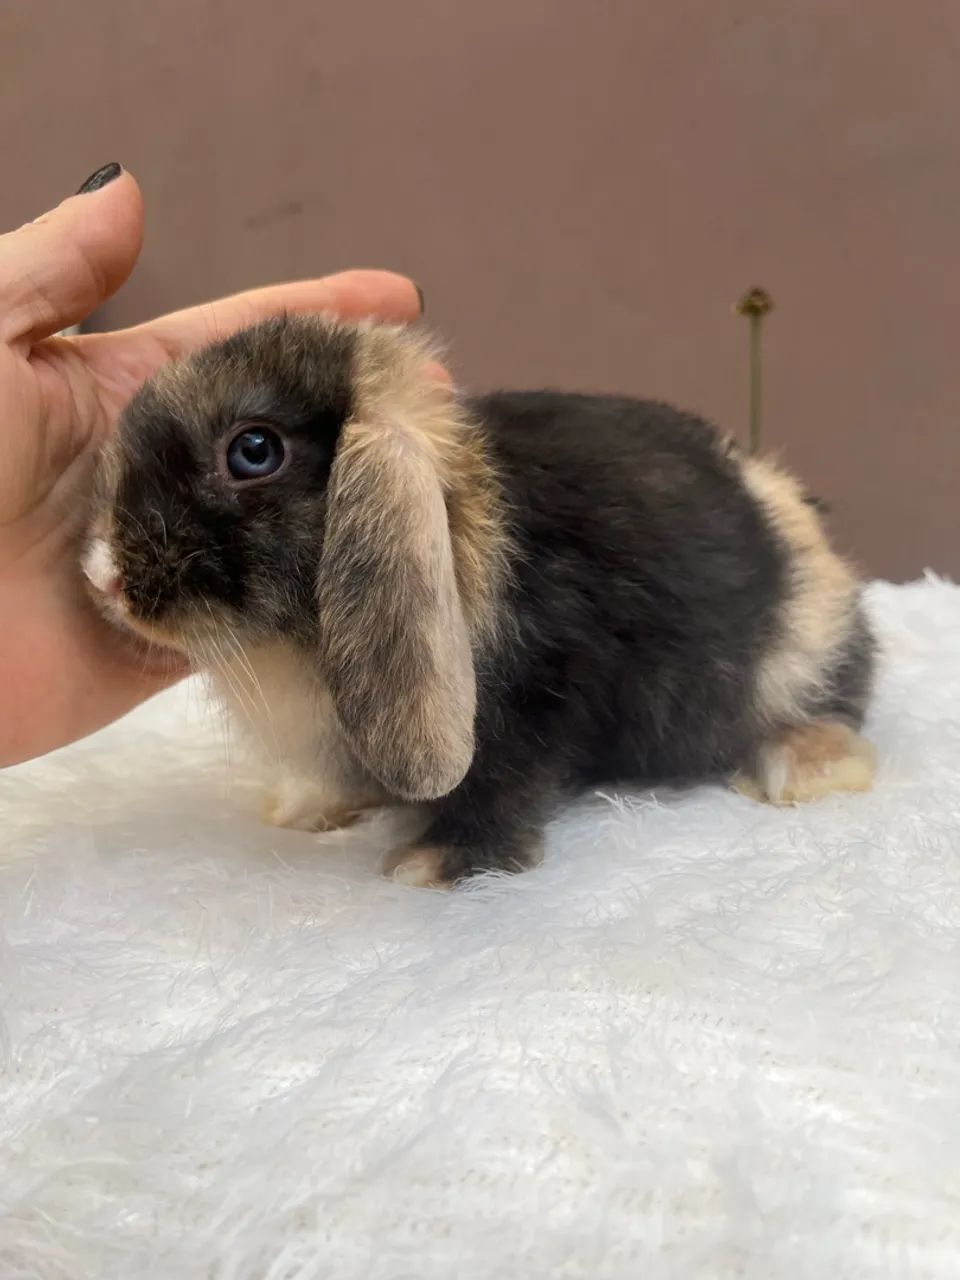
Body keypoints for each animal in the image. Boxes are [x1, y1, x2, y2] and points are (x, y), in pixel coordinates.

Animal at [82, 314, 877, 887]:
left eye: (254, 451)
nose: (103, 578)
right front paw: (304, 809)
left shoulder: (536, 703)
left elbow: (499, 783)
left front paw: (430, 864)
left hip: (802, 646)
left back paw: (809, 771)